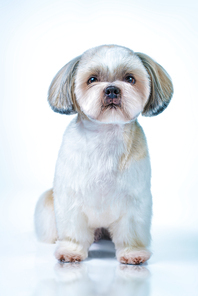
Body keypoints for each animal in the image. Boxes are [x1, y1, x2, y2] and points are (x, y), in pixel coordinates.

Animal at [34, 45, 173, 264]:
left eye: (130, 78)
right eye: (92, 79)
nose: (112, 89)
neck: (106, 136)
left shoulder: (134, 202)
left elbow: (131, 232)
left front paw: (133, 254)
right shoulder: (71, 198)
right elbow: (73, 232)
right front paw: (71, 251)